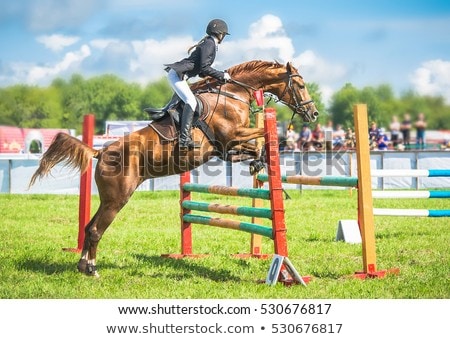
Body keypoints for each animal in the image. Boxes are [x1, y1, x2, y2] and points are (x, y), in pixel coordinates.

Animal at [29, 59, 316, 276]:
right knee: (96, 230)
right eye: (300, 85)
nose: (313, 114)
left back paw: (83, 265)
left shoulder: (226, 146)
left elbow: (253, 147)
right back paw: (92, 269)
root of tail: (101, 151)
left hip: (108, 198)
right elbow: (264, 134)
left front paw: (257, 163)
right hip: (118, 198)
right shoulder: (232, 135)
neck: (234, 95)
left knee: (89, 227)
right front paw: (268, 151)